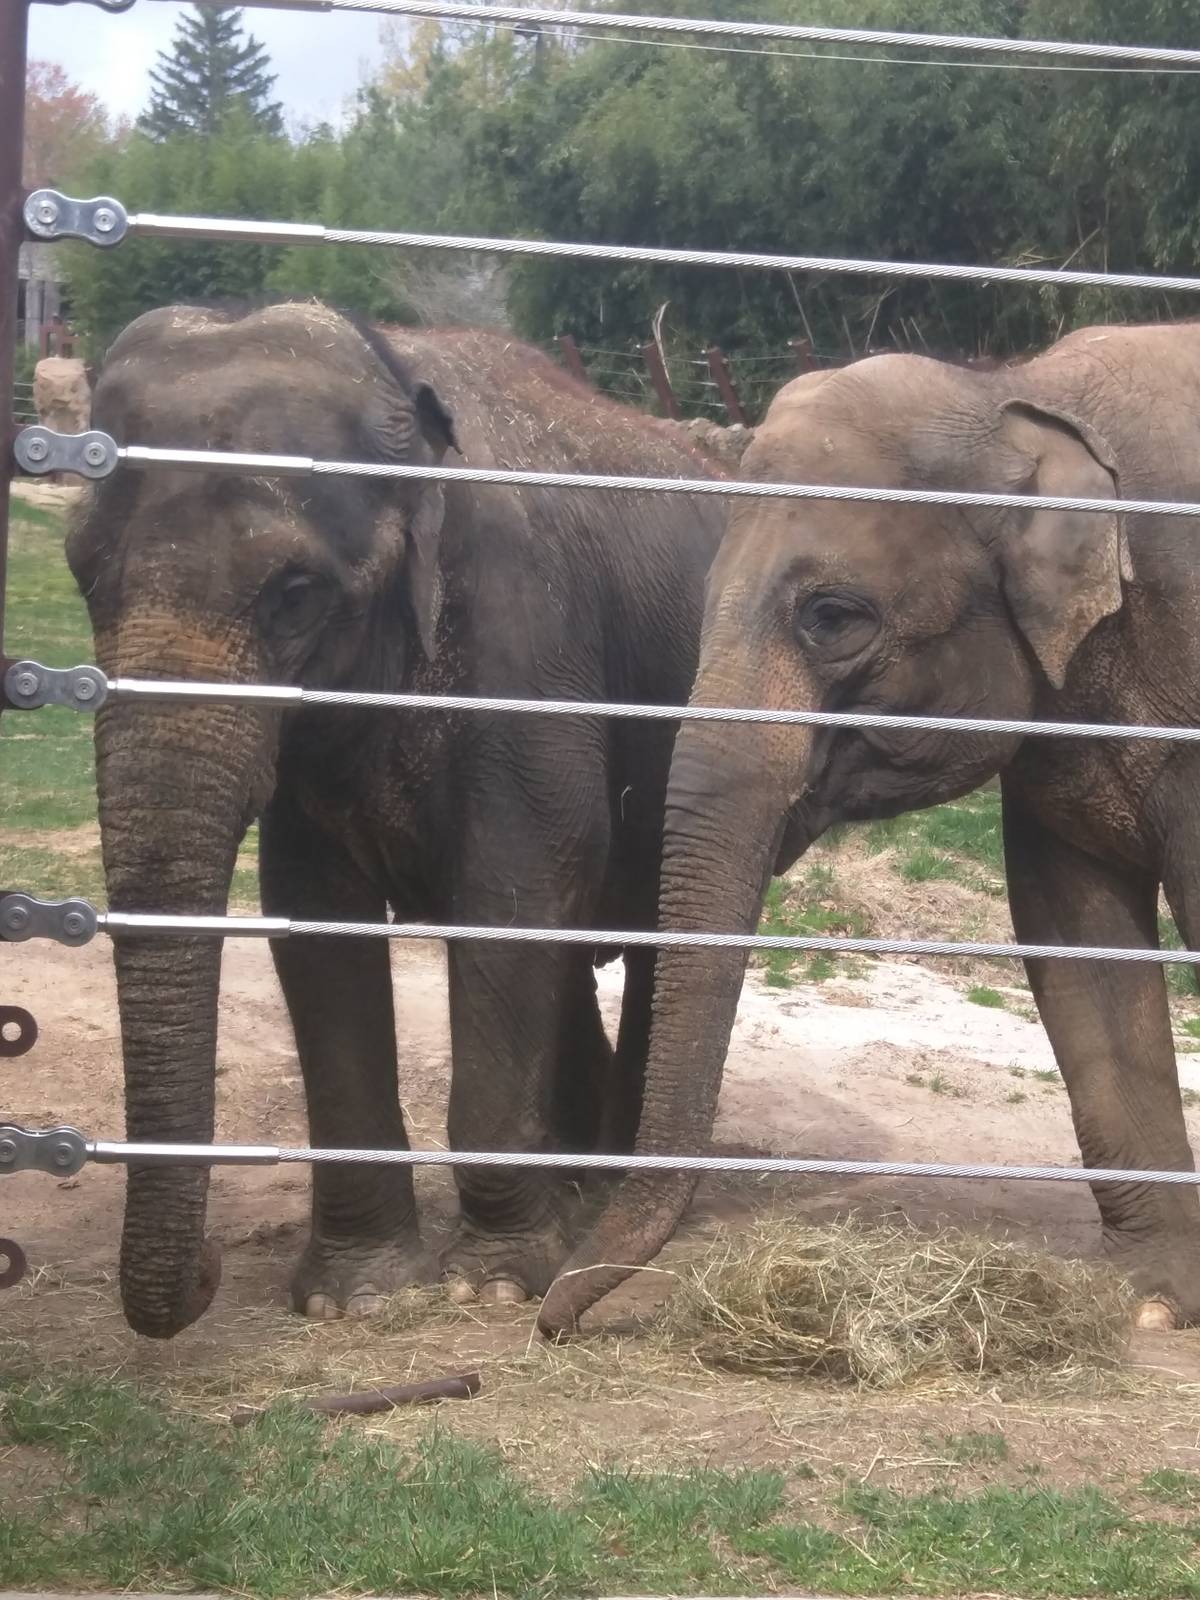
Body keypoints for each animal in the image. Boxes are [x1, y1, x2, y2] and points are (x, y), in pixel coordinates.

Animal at [68, 300, 724, 1339]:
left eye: (295, 595)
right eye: (82, 575)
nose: (210, 1267)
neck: (391, 362)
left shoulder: (528, 647)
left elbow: (515, 888)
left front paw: (492, 1284)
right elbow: (312, 916)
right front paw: (354, 1295)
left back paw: (606, 1189)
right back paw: (579, 1187)